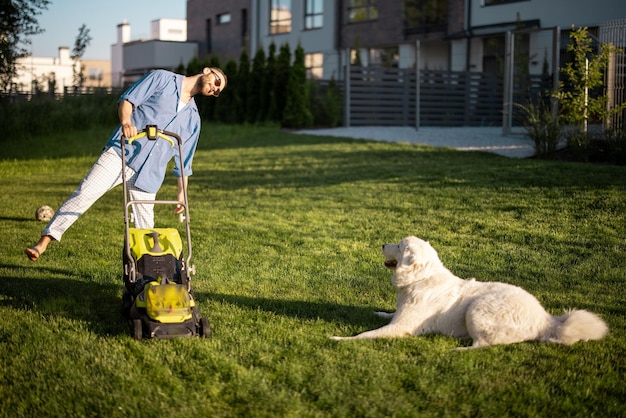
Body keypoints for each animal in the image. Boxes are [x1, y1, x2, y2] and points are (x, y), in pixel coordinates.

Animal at [330, 235, 608, 350]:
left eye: (398, 245)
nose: (382, 244)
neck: (421, 278)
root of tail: (546, 320)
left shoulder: (402, 327)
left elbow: (366, 335)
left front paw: (339, 339)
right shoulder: (399, 316)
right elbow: (385, 315)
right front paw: (377, 312)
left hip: (477, 309)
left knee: (485, 345)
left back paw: (457, 350)